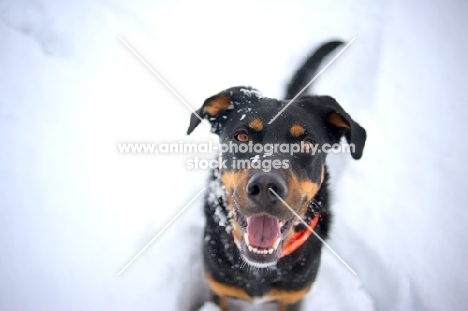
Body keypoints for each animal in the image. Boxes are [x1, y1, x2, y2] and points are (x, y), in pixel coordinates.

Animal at [186, 40, 366, 311]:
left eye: (307, 143)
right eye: (242, 136)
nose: (266, 186)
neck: (260, 270)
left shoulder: (293, 297)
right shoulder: (218, 289)